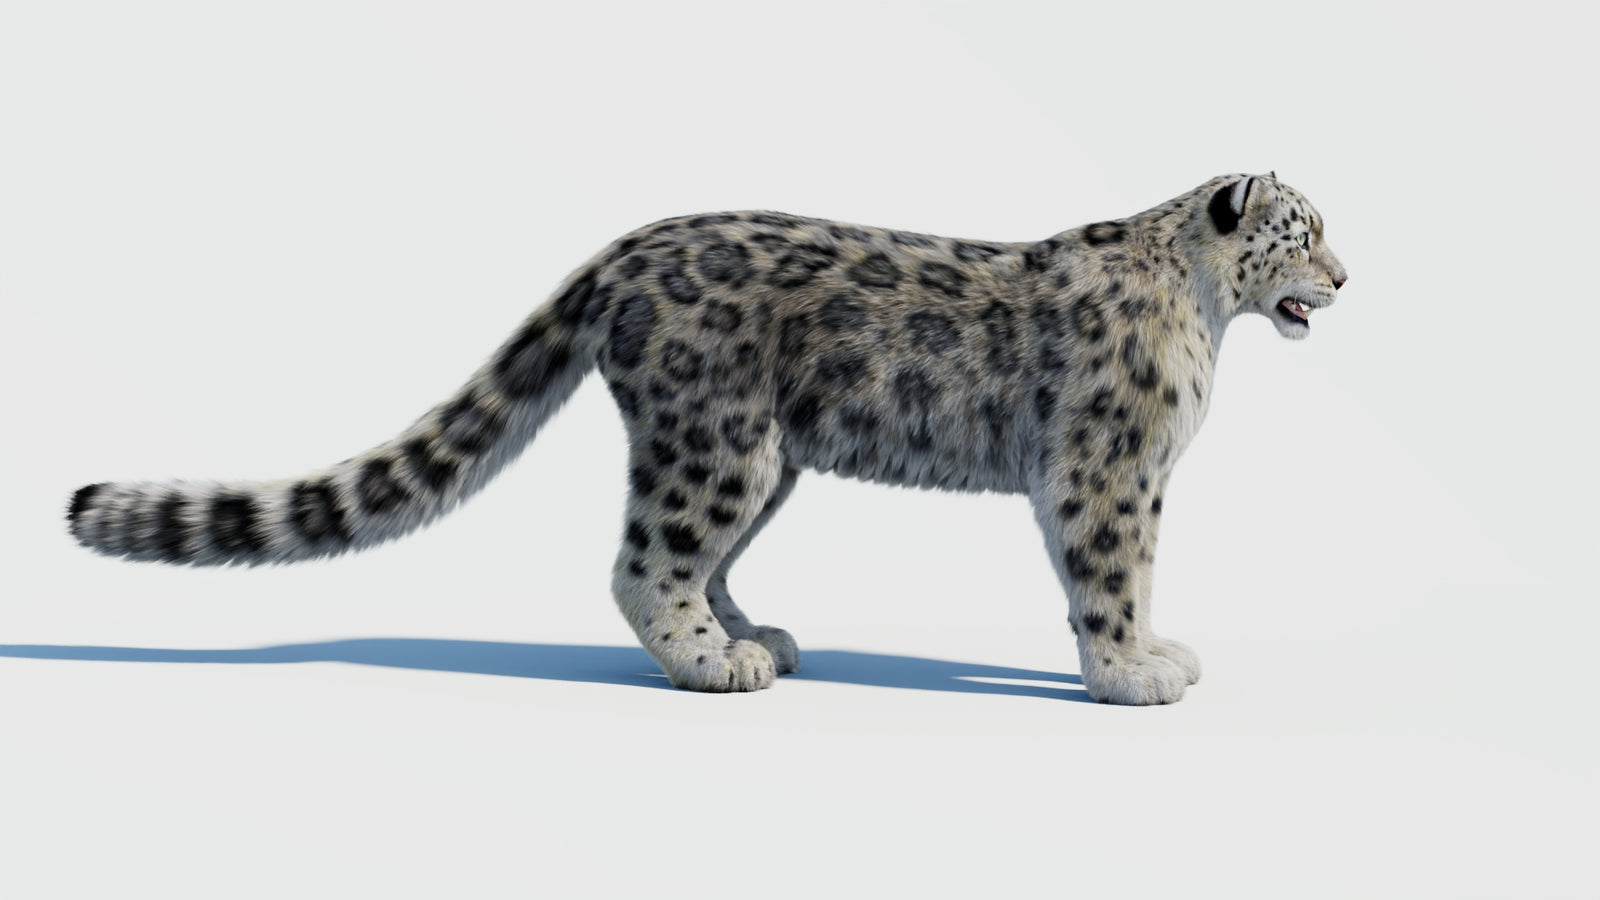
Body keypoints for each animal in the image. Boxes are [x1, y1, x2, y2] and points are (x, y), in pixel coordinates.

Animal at [67, 172, 1348, 705]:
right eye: (1304, 231)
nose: (1345, 277)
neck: (1207, 311)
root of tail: (624, 249)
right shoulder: (1109, 468)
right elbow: (1111, 576)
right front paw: (1133, 672)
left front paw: (1148, 657)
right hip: (715, 440)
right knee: (648, 559)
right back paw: (709, 663)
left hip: (764, 454)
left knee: (701, 560)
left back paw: (750, 636)